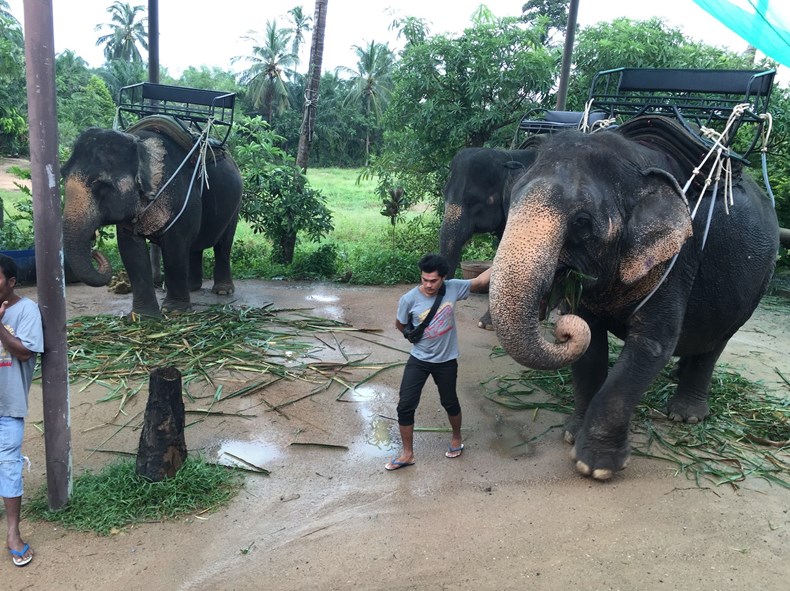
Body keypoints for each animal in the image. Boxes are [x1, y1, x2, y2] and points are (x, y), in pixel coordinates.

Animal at [62, 124, 243, 316]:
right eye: (62, 174)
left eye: (102, 185)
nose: (94, 250)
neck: (137, 142)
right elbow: (131, 251)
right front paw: (144, 316)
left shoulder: (181, 197)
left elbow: (174, 248)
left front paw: (174, 310)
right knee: (195, 245)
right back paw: (192, 287)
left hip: (235, 205)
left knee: (223, 244)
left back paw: (223, 291)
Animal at [492, 121, 784, 480]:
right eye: (510, 203)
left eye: (582, 223)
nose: (561, 324)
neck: (636, 159)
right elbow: (591, 346)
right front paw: (571, 434)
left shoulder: (678, 260)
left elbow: (652, 345)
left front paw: (595, 467)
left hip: (758, 284)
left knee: (716, 342)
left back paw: (685, 415)